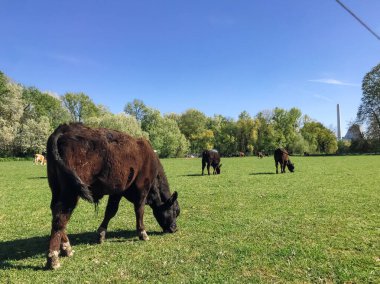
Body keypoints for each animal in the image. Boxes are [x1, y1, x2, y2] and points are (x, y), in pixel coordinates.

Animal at [45, 123, 180, 270]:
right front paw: (142, 233)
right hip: (71, 192)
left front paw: (101, 234)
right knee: (61, 217)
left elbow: (110, 211)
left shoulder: (117, 192)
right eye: (175, 211)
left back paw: (66, 248)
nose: (174, 228)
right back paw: (53, 258)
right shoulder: (142, 189)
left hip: (57, 189)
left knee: (56, 213)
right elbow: (139, 210)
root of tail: (64, 129)